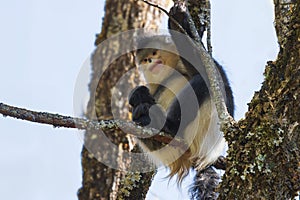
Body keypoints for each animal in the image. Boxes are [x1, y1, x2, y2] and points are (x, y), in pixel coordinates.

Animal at [127, 3, 233, 199]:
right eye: (145, 59)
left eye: (154, 52)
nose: (151, 60)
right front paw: (138, 96)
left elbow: (210, 74)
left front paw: (176, 21)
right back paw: (144, 116)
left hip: (203, 132)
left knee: (201, 84)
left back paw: (167, 125)